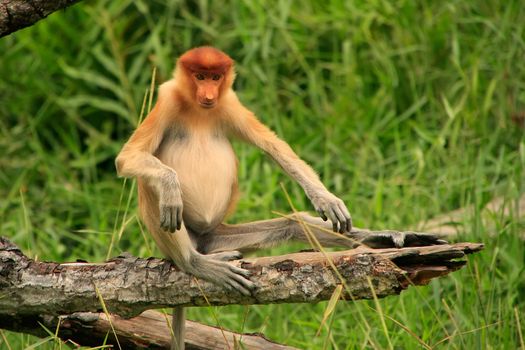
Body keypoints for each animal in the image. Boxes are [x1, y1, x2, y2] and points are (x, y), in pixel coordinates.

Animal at [115, 47, 446, 350]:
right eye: (199, 76)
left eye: (215, 77)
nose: (208, 93)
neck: (200, 112)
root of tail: (200, 239)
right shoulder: (168, 101)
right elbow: (127, 158)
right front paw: (171, 187)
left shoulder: (230, 105)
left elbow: (275, 147)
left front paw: (326, 199)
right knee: (152, 187)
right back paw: (193, 260)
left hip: (217, 238)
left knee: (293, 223)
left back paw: (381, 238)